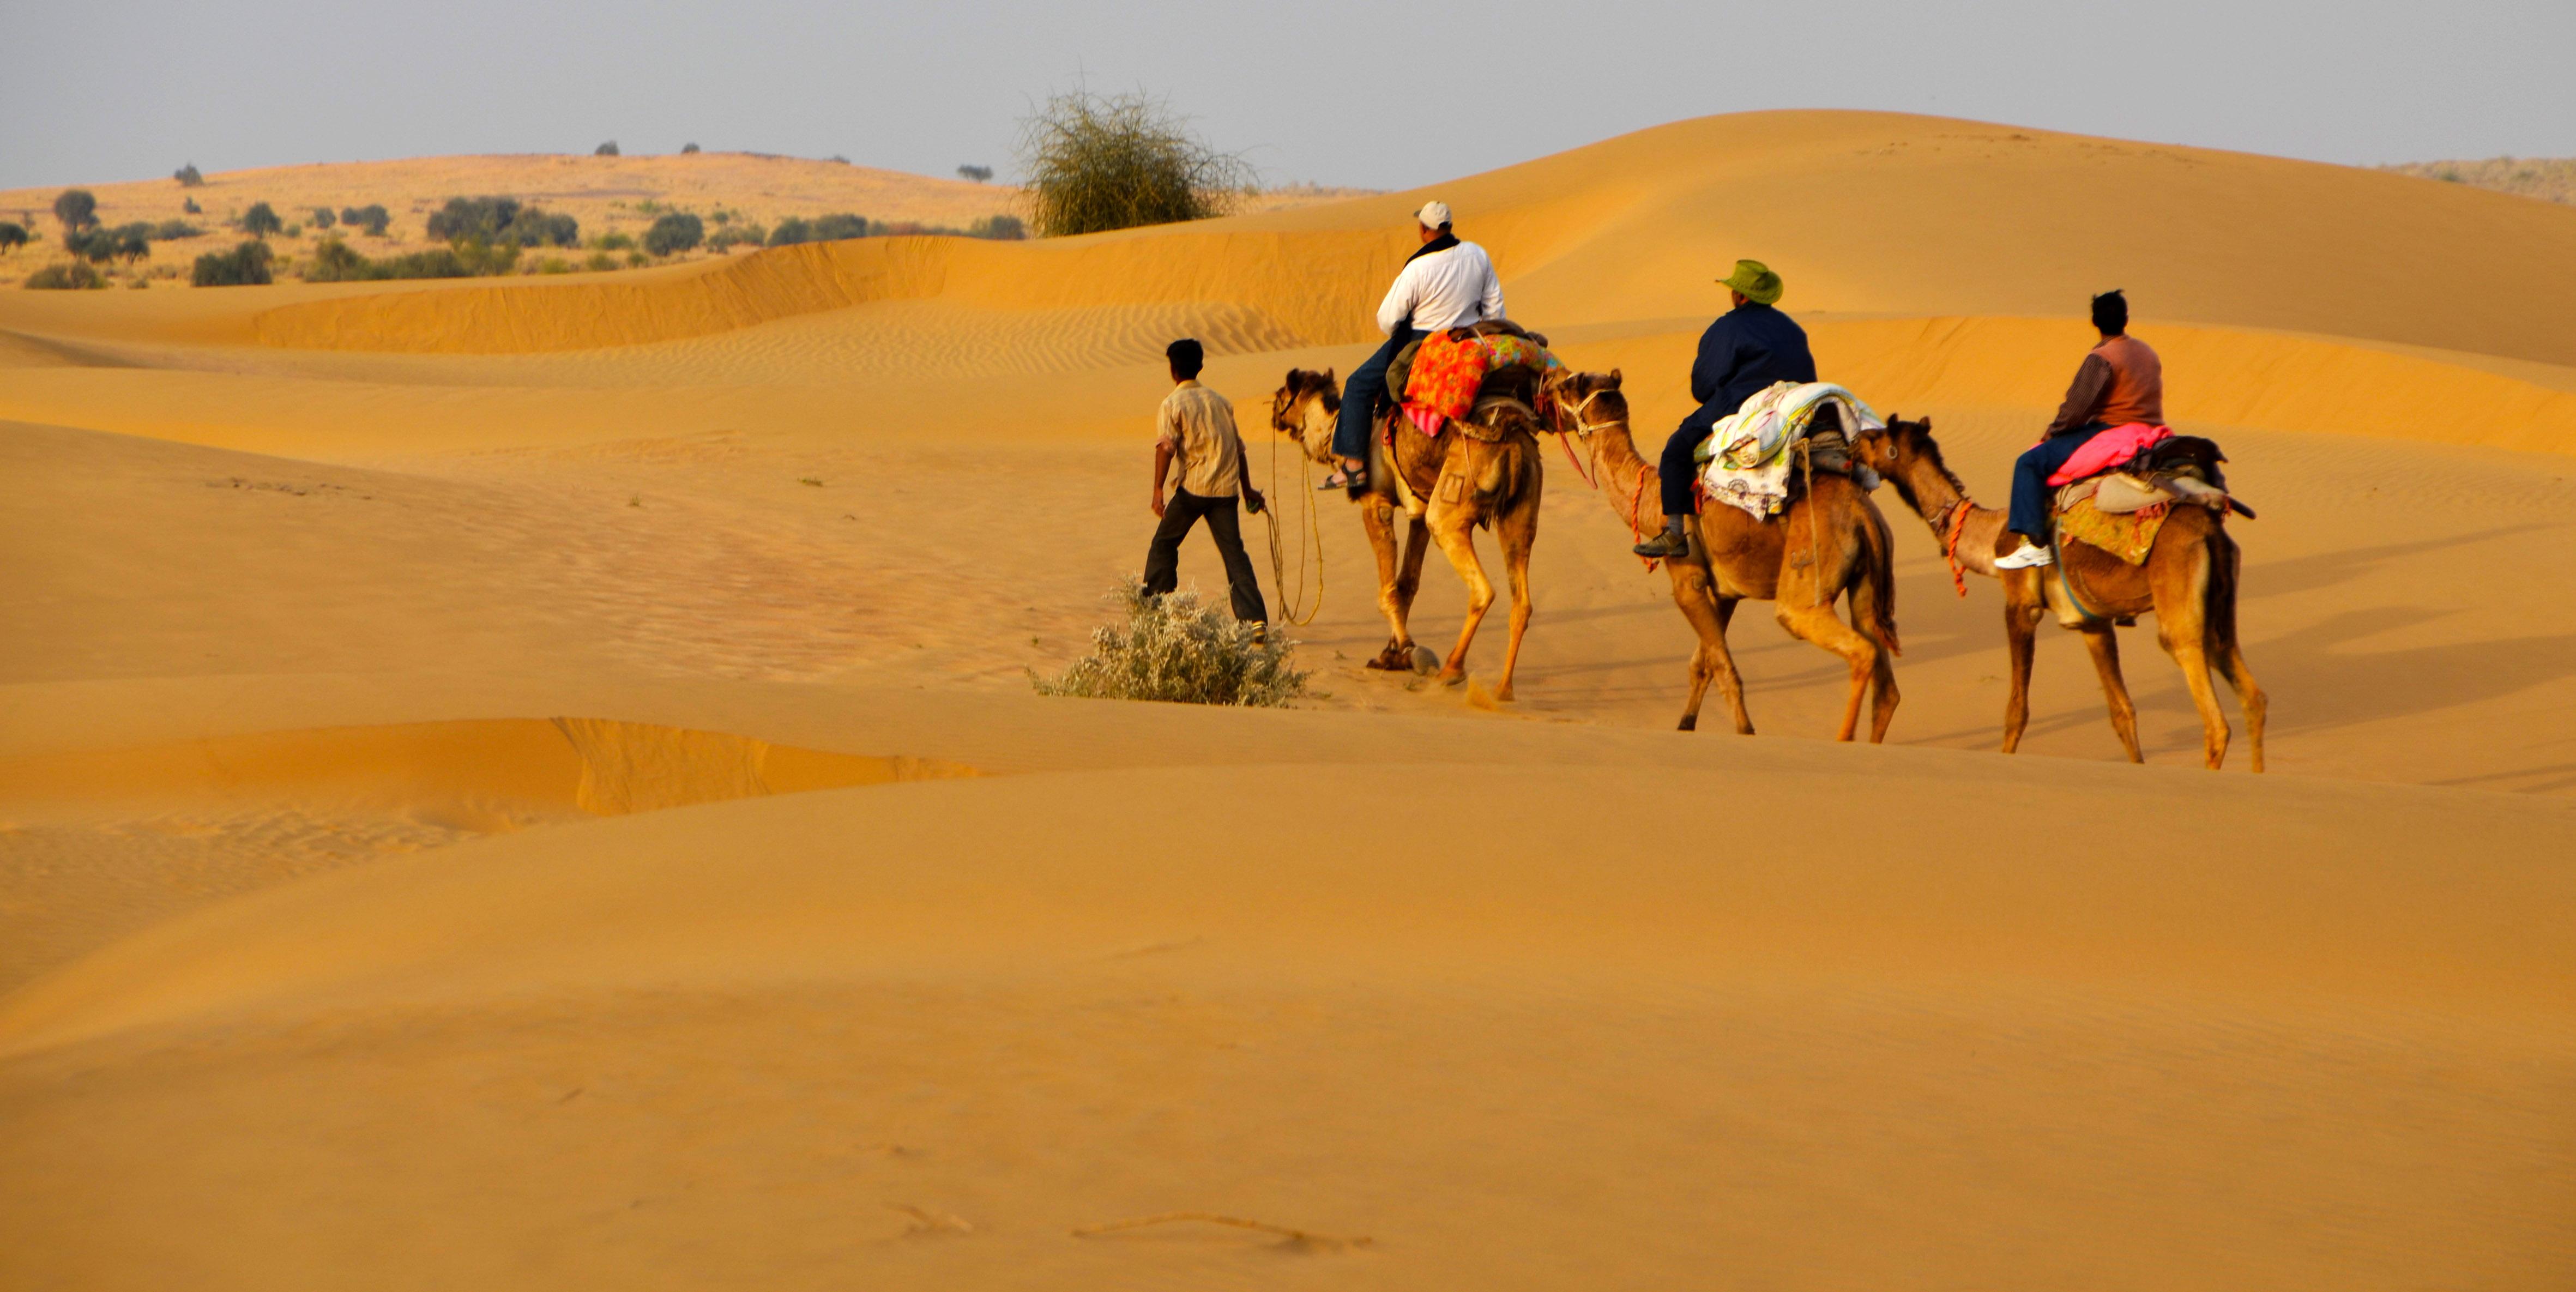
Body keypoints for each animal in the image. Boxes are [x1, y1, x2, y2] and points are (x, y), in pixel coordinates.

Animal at [1272, 368, 1535, 700]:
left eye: (1282, 393)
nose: (1273, 414)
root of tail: (1512, 442)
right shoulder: (1419, 514)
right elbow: (1407, 584)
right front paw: (1391, 656)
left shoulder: (1376, 504)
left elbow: (1388, 590)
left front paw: (1409, 649)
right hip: (1520, 515)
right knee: (1522, 601)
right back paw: (1502, 690)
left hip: (1454, 500)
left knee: (1482, 589)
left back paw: (1452, 671)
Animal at [1535, 368, 1906, 741]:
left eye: (1567, 385)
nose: (1548, 380)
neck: (1651, 499)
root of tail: (1862, 514)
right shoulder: (1726, 593)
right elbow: (1704, 664)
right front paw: (1686, 725)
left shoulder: (1688, 581)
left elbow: (1723, 667)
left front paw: (1746, 731)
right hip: (1867, 579)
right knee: (1884, 678)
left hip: (1809, 566)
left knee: (1854, 648)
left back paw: (1843, 741)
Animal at [1855, 419, 2277, 772]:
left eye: (1877, 436)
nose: (1855, 442)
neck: (1989, 538)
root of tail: (2211, 533)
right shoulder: (2092, 624)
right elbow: (2122, 712)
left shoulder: (2020, 606)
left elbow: (2017, 710)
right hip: (2221, 605)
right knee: (2249, 692)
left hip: (2179, 597)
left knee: (2210, 710)